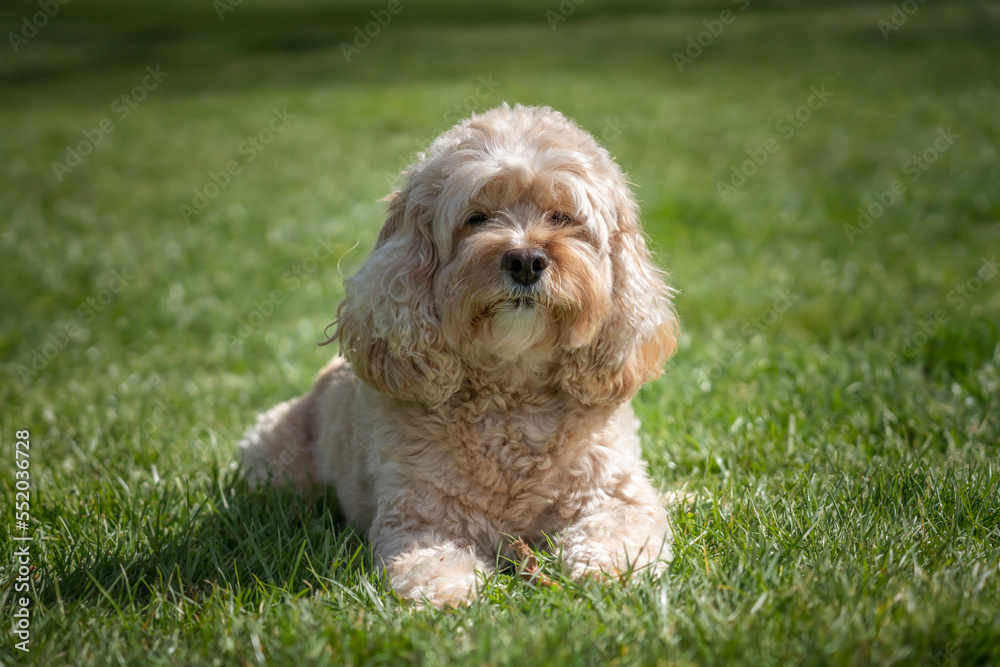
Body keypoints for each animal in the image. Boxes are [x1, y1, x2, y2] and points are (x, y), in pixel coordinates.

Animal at [240, 102, 680, 608]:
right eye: (477, 217)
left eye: (562, 216)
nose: (526, 260)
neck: (513, 393)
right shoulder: (418, 517)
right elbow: (429, 559)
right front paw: (448, 593)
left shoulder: (617, 495)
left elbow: (620, 530)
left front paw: (607, 572)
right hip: (275, 463)